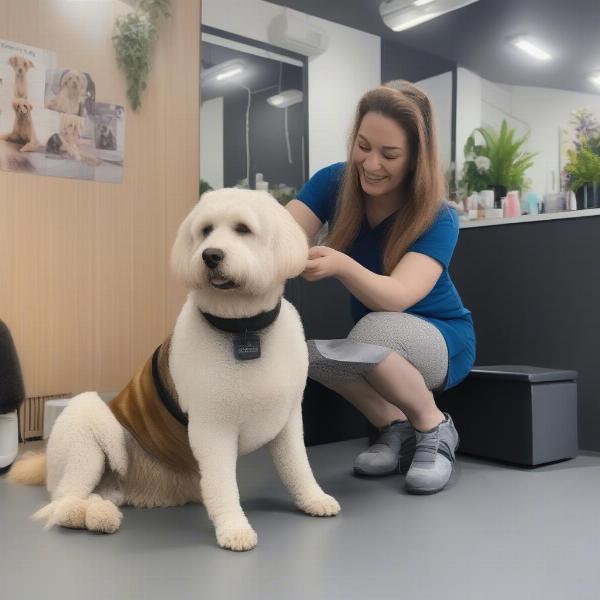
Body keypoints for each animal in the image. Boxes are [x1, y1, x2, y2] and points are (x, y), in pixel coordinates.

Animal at [9, 190, 340, 552]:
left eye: (242, 229)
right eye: (206, 231)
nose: (211, 255)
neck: (243, 329)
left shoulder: (288, 420)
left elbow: (298, 467)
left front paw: (314, 499)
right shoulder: (213, 429)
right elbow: (224, 485)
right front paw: (234, 528)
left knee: (96, 496)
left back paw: (100, 512)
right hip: (87, 420)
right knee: (62, 500)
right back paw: (88, 515)